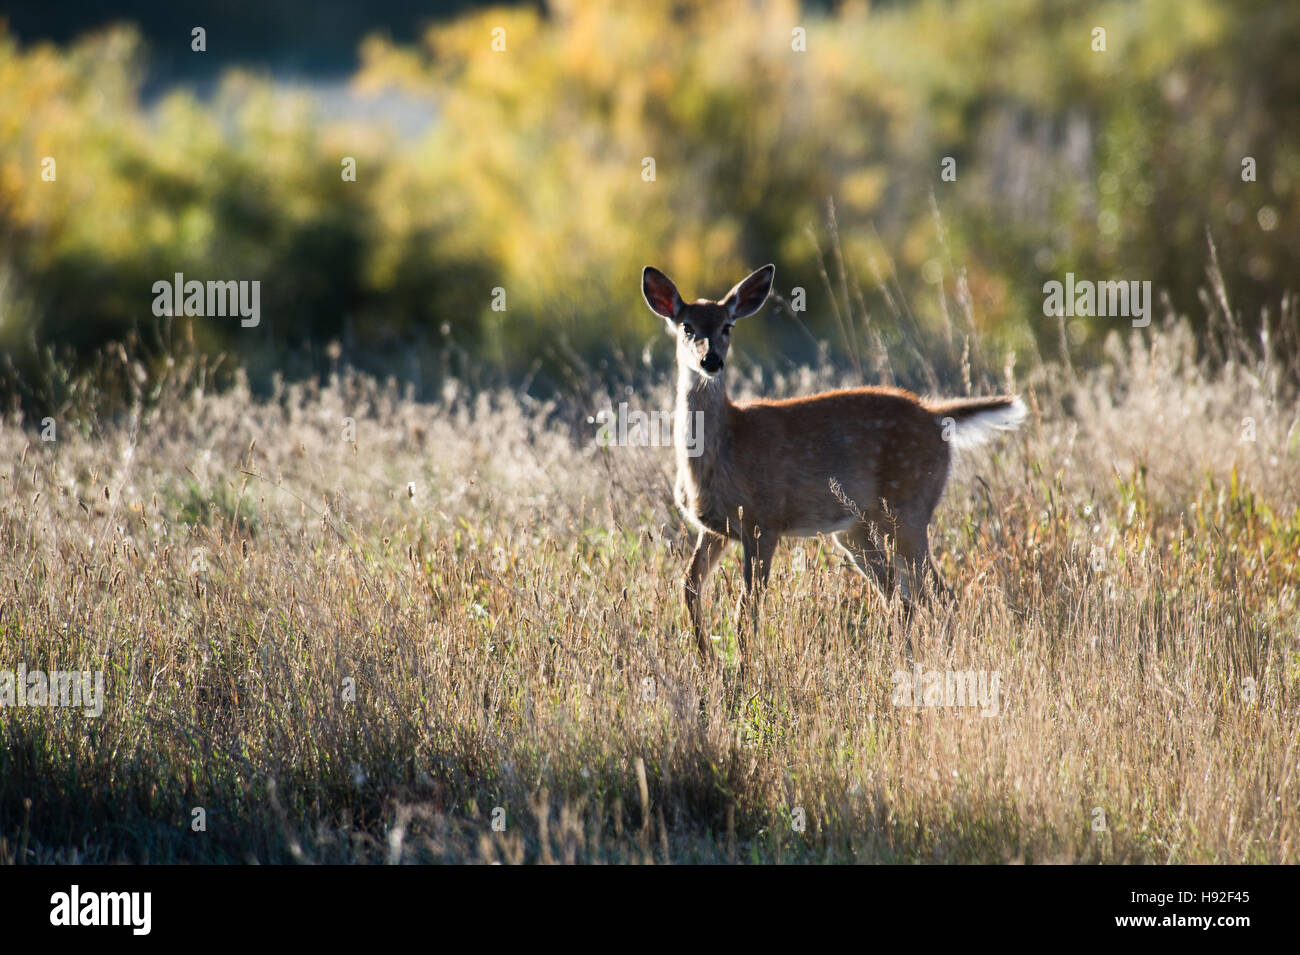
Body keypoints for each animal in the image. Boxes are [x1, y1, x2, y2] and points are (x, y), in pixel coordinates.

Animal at [639, 263, 1024, 670]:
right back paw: (902, 658)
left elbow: (747, 606)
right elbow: (689, 586)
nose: (711, 361)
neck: (724, 450)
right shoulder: (714, 528)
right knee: (901, 595)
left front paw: (744, 671)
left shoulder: (764, 520)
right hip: (856, 529)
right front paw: (706, 662)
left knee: (938, 594)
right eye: (686, 326)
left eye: (727, 326)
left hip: (909, 508)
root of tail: (937, 415)